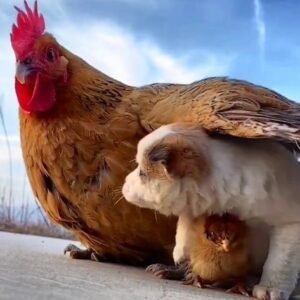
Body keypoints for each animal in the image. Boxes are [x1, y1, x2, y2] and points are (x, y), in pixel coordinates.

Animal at [122, 122, 300, 300]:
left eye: (142, 173)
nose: (124, 184)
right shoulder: (196, 209)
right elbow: (185, 232)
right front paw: (180, 260)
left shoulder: (289, 225)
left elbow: (279, 262)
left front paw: (270, 288)